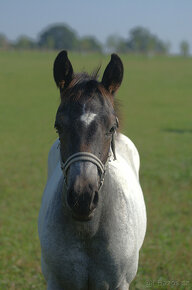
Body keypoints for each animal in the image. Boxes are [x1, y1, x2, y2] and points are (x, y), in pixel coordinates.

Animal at [38, 51, 146, 290]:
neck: (88, 231)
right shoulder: (56, 282)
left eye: (111, 127)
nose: (82, 197)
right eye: (58, 126)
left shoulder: (118, 284)